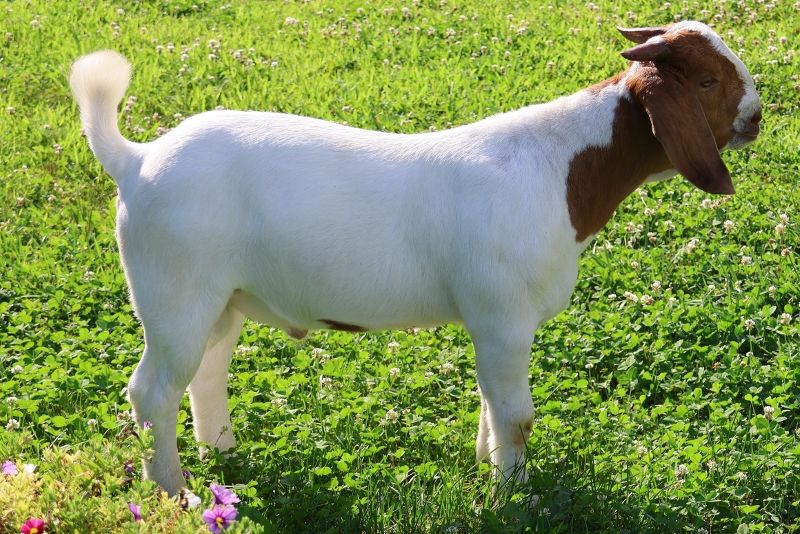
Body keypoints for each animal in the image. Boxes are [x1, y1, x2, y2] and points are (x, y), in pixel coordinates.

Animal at [70, 21, 761, 495]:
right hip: (174, 291)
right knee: (153, 389)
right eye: (706, 81)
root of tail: (136, 160)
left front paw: (487, 467)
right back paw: (177, 493)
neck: (560, 168)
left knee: (205, 374)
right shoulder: (503, 317)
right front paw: (515, 495)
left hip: (221, 299)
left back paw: (223, 458)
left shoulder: (492, 324)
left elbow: (491, 404)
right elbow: (517, 416)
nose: (757, 115)